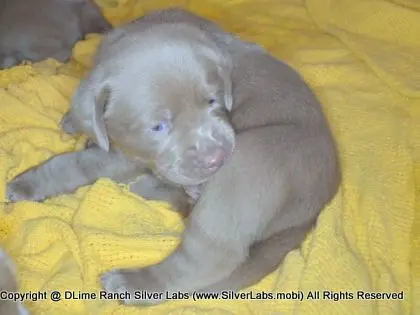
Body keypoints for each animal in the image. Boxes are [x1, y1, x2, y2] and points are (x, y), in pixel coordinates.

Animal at [5, 9, 342, 306]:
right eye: (158, 126)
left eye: (213, 101)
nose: (216, 158)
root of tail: (313, 211)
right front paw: (74, 121)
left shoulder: (128, 157)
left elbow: (73, 163)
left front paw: (26, 184)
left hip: (251, 162)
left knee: (208, 258)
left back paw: (131, 282)